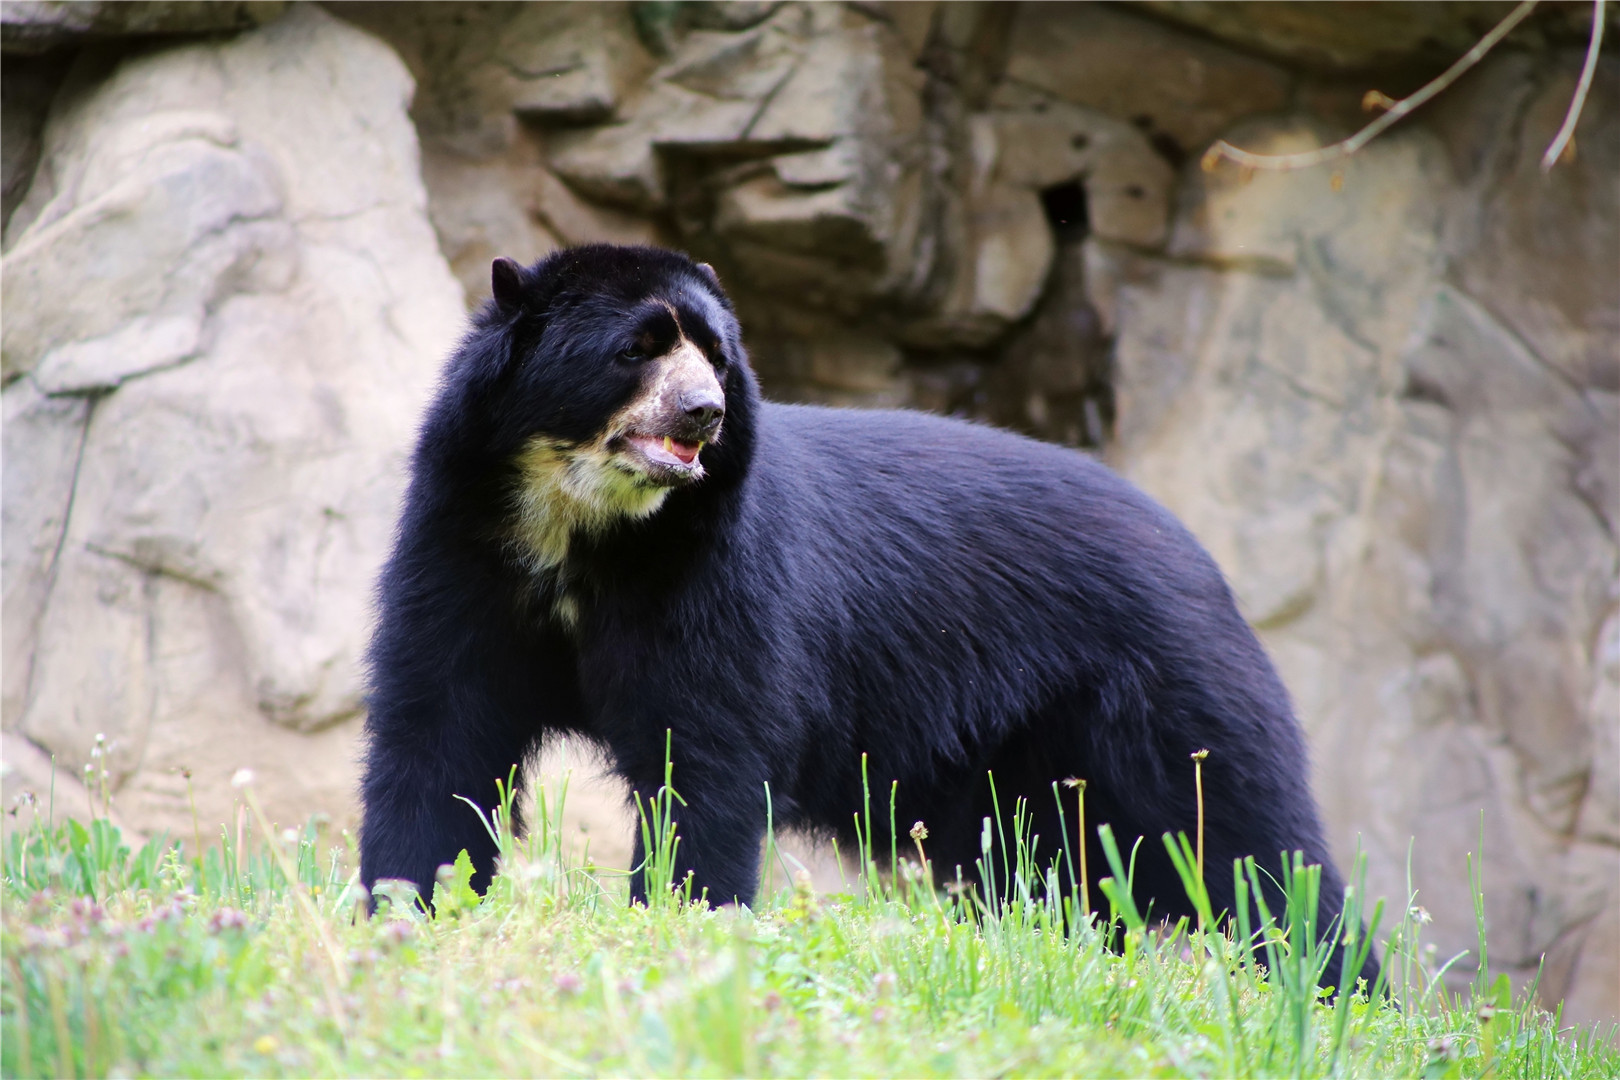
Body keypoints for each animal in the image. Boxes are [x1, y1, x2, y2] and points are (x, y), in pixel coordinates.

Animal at [360, 244, 1378, 992]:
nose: (704, 414)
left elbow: (705, 756)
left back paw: (1338, 990)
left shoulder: (714, 581)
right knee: (1063, 865)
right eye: (636, 349)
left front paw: (685, 928)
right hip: (1023, 760)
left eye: (714, 354)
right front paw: (402, 909)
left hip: (1162, 686)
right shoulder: (464, 550)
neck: (586, 527)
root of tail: (1198, 553)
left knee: (1246, 842)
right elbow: (441, 729)